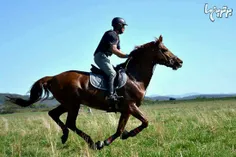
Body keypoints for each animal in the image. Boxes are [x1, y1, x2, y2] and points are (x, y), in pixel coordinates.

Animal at [6, 35, 183, 150]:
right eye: (164, 49)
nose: (179, 62)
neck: (134, 77)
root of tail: (53, 77)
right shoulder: (130, 106)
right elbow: (145, 122)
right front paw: (105, 142)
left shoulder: (125, 110)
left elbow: (119, 130)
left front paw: (111, 140)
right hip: (73, 104)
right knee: (70, 123)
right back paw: (90, 142)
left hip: (68, 104)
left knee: (54, 114)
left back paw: (65, 136)